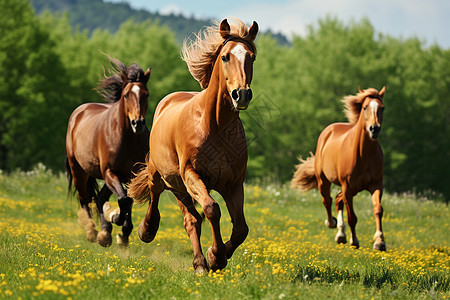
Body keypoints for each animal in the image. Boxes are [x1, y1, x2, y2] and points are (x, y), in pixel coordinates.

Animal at [66, 57, 151, 247]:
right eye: (126, 95)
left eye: (146, 94)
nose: (138, 123)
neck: (126, 138)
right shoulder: (109, 171)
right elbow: (124, 199)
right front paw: (116, 218)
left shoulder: (131, 174)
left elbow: (128, 199)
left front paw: (123, 232)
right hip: (79, 171)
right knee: (84, 199)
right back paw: (93, 232)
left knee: (100, 197)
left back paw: (105, 231)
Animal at [128, 17, 258, 274]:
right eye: (225, 56)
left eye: (252, 57)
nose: (241, 94)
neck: (215, 126)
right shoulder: (191, 175)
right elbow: (212, 209)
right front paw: (216, 255)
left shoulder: (234, 184)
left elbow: (241, 228)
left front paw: (218, 256)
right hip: (163, 176)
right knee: (158, 198)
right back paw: (148, 230)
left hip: (179, 187)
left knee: (192, 221)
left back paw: (199, 263)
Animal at [292, 86, 386, 251]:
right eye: (365, 107)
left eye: (382, 108)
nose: (374, 129)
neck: (363, 154)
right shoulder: (347, 186)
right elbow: (352, 217)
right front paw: (354, 241)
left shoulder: (376, 185)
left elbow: (378, 210)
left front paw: (380, 242)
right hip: (325, 181)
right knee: (328, 200)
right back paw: (333, 224)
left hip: (351, 188)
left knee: (337, 199)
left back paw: (340, 235)